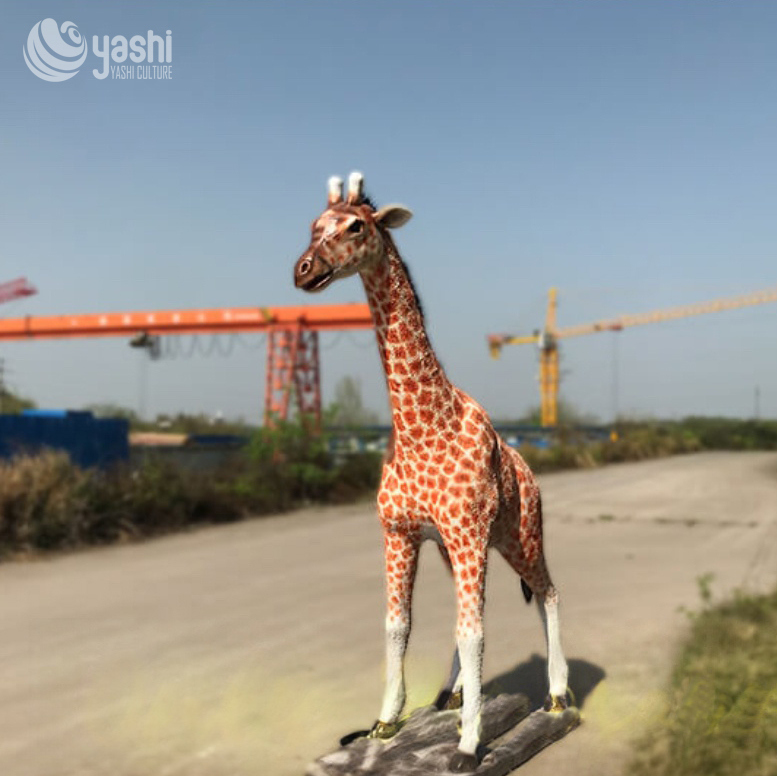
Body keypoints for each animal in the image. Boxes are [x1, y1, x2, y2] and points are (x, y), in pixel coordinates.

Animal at [293, 172, 569, 772]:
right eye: (313, 225)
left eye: (357, 226)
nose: (303, 269)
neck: (421, 426)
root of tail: (531, 472)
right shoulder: (402, 533)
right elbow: (400, 624)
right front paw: (383, 724)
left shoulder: (464, 533)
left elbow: (474, 632)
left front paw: (467, 744)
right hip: (458, 547)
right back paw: (452, 694)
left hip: (519, 535)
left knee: (548, 592)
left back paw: (558, 696)